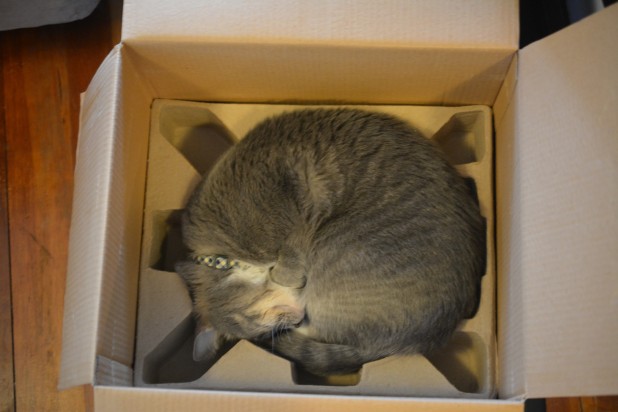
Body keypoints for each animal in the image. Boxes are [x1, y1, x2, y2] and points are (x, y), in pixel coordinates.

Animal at [176, 107, 484, 376]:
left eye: (258, 320)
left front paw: (282, 275)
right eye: (264, 329)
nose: (293, 320)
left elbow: (288, 258)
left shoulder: (287, 213)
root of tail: (416, 343)